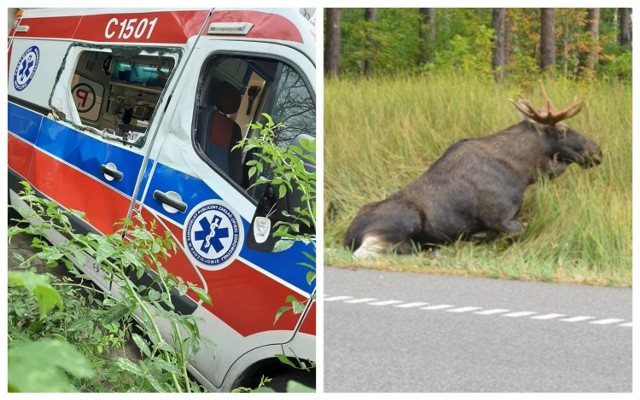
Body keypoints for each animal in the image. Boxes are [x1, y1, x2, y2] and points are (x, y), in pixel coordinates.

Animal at [344, 82, 600, 258]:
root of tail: (348, 236)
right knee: (368, 252)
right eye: (561, 131)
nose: (597, 151)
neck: (522, 172)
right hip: (405, 218)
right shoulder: (500, 218)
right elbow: (511, 233)